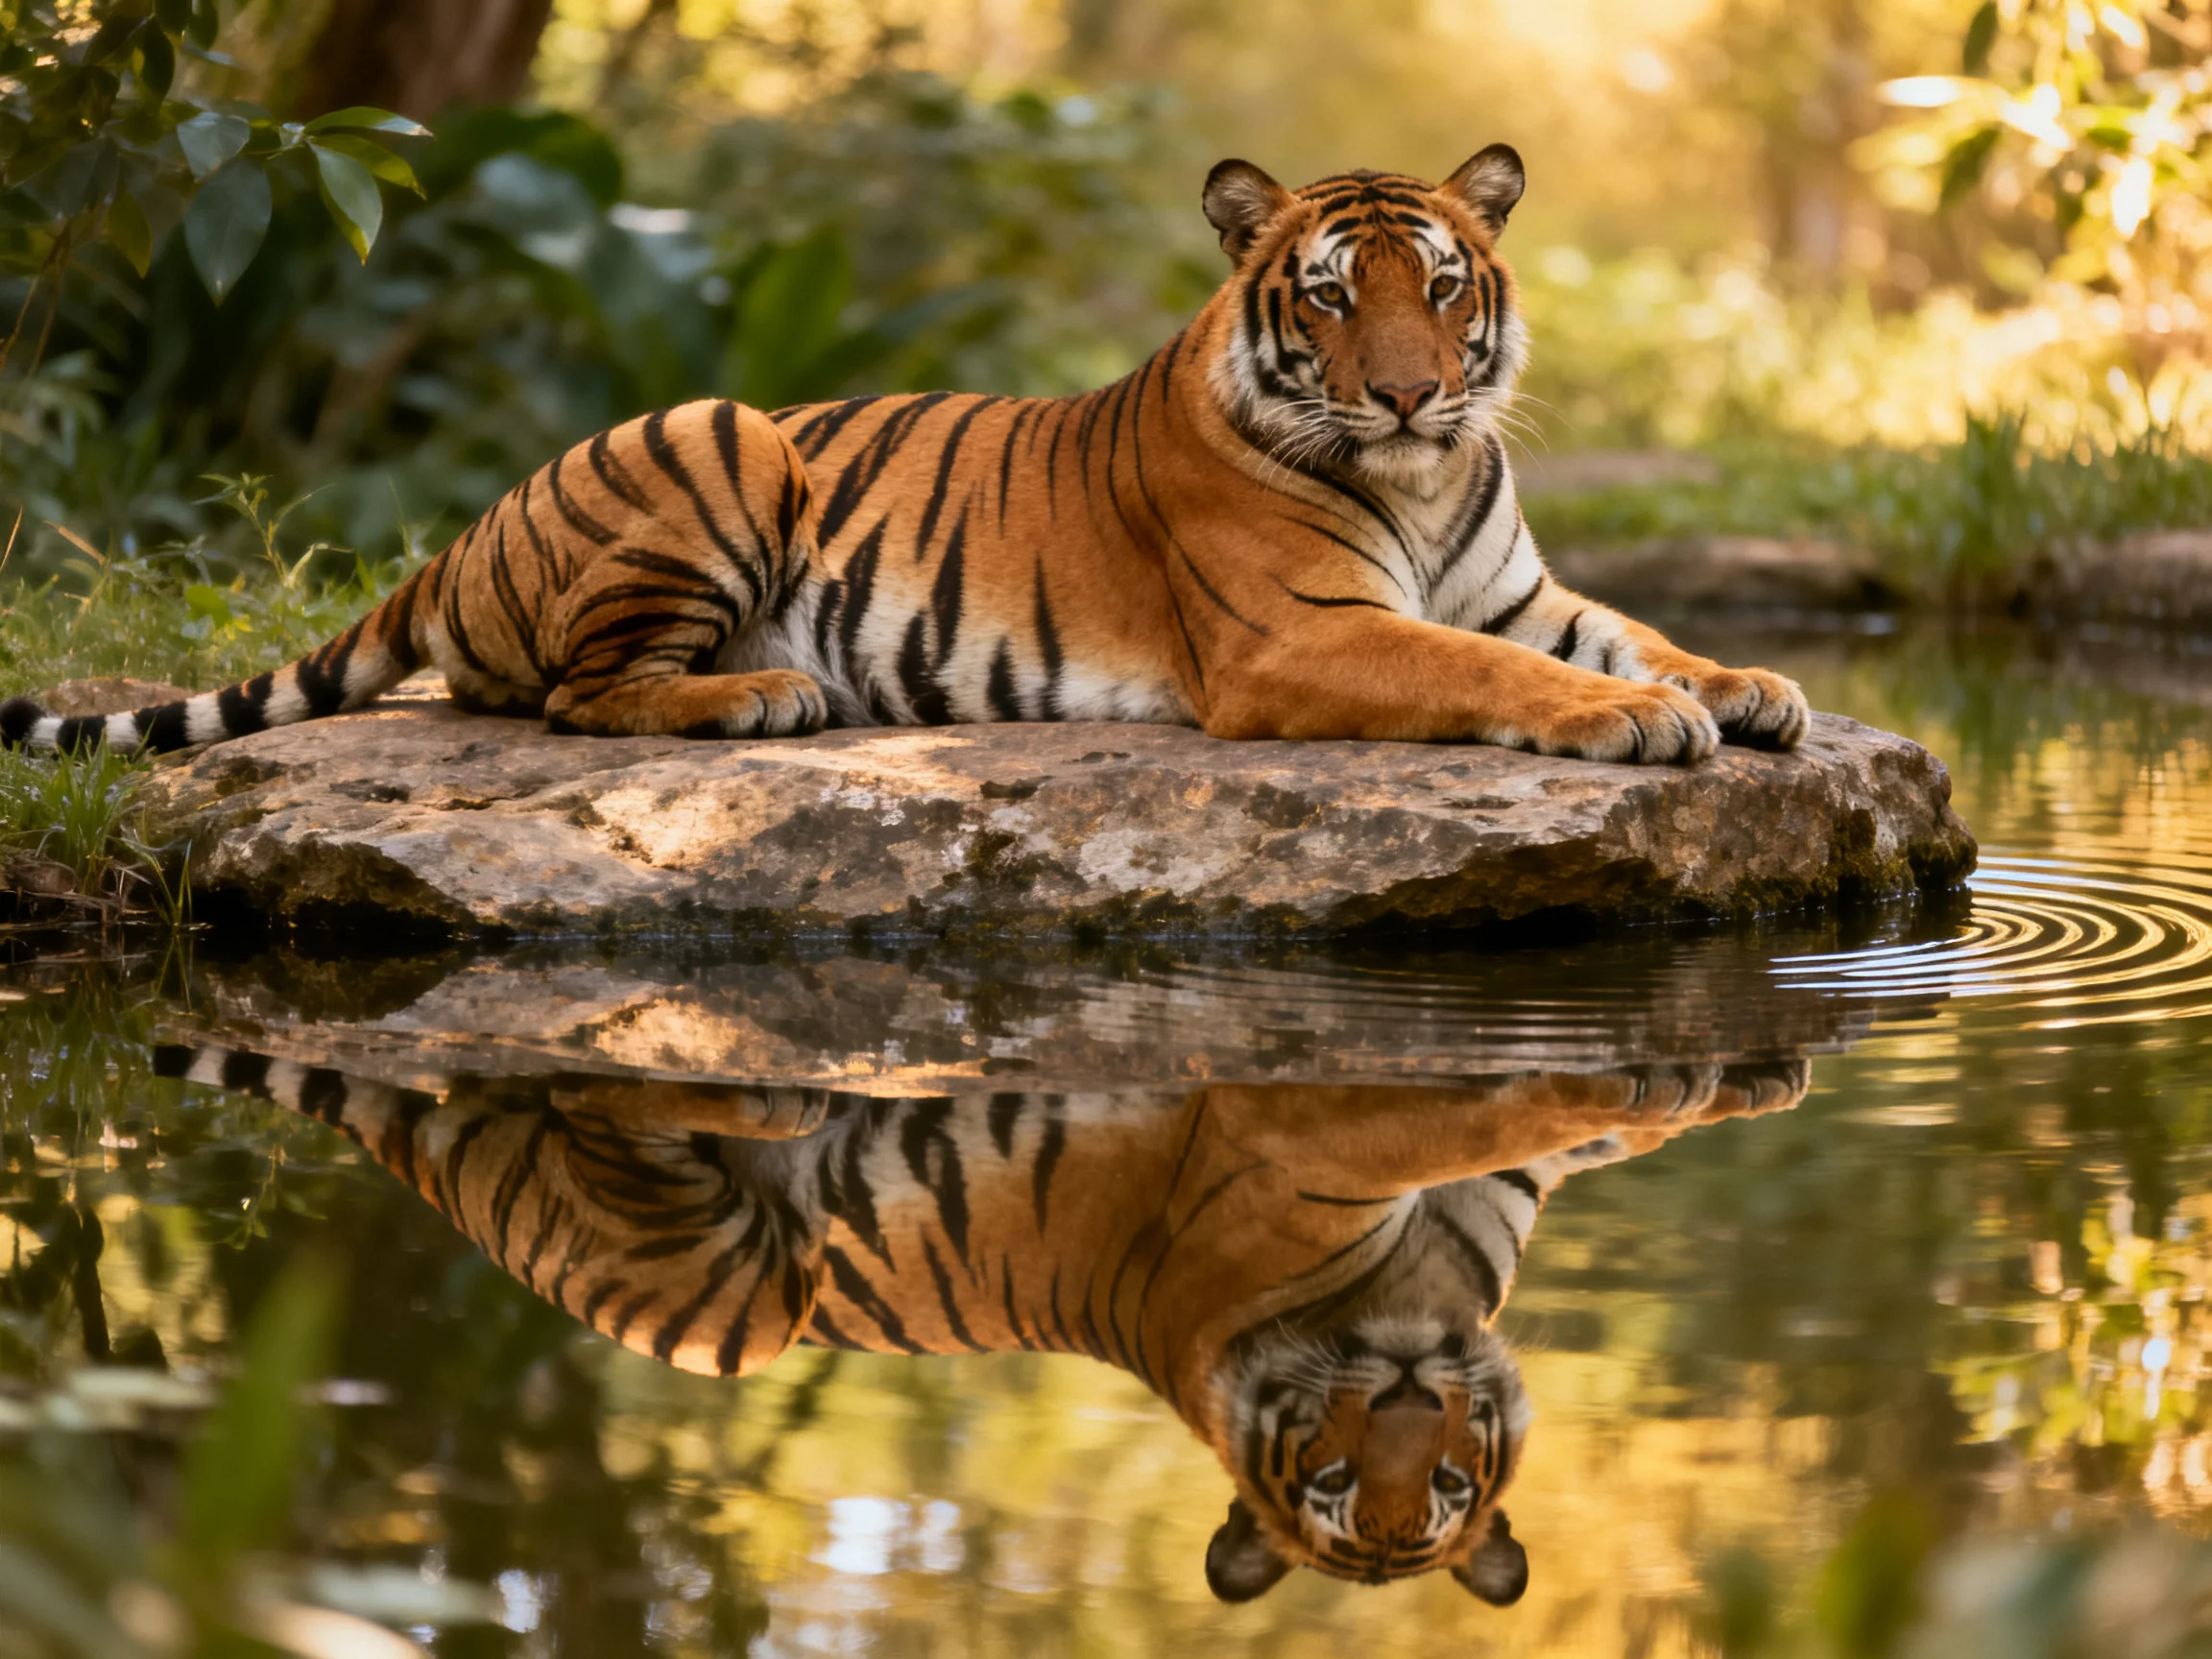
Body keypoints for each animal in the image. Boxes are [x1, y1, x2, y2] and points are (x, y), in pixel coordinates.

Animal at [5, 145, 1809, 764]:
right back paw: (760, 697)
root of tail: (461, 531)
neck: (1427, 485)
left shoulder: (1513, 591)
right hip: (723, 430)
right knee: (572, 694)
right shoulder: (1303, 634)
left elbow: (1626, 631)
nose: (1411, 396)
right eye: (1326, 296)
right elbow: (1495, 676)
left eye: (1439, 287)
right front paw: (1632, 725)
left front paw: (1748, 686)